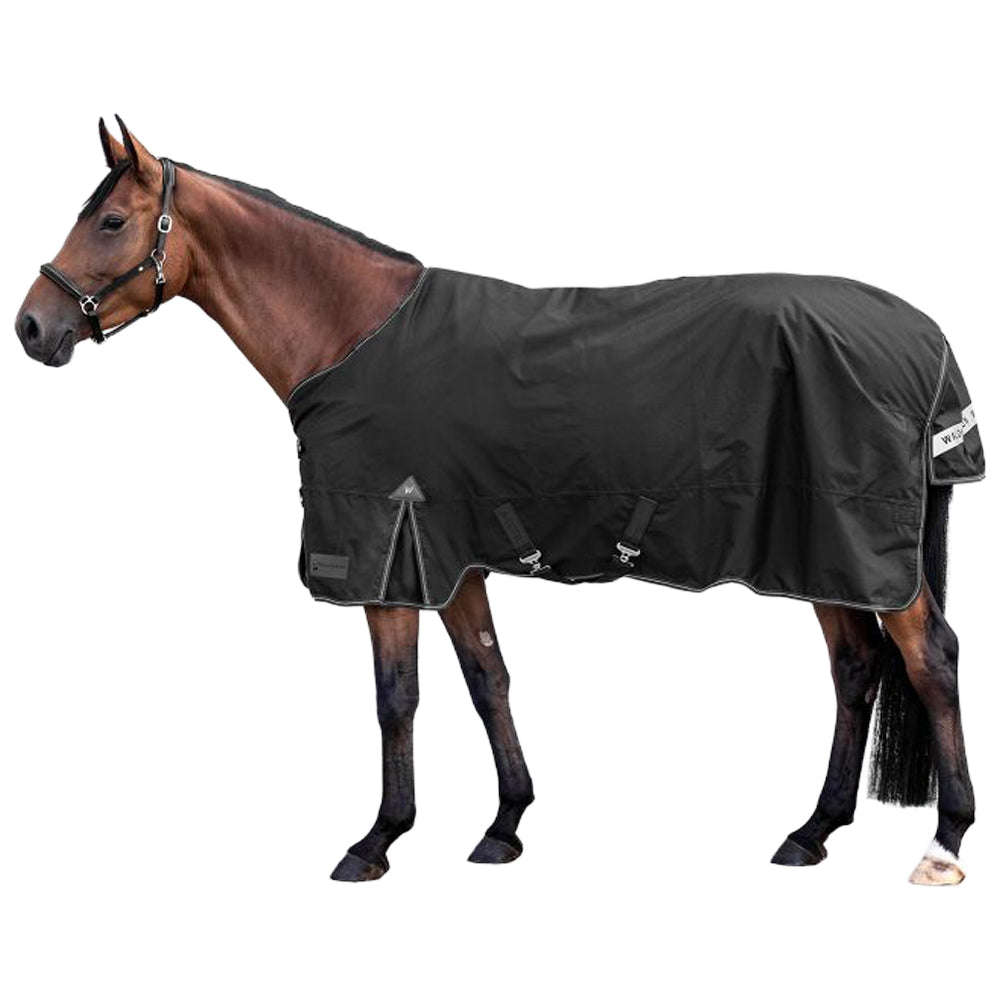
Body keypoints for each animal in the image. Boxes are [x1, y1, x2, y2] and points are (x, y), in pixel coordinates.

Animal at [15, 118, 982, 885]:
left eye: (109, 220)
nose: (31, 328)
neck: (350, 333)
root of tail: (923, 338)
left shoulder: (390, 558)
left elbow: (396, 697)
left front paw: (377, 841)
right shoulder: (454, 557)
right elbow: (488, 678)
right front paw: (505, 825)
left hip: (857, 548)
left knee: (929, 659)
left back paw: (944, 842)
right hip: (823, 551)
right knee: (856, 669)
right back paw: (812, 832)